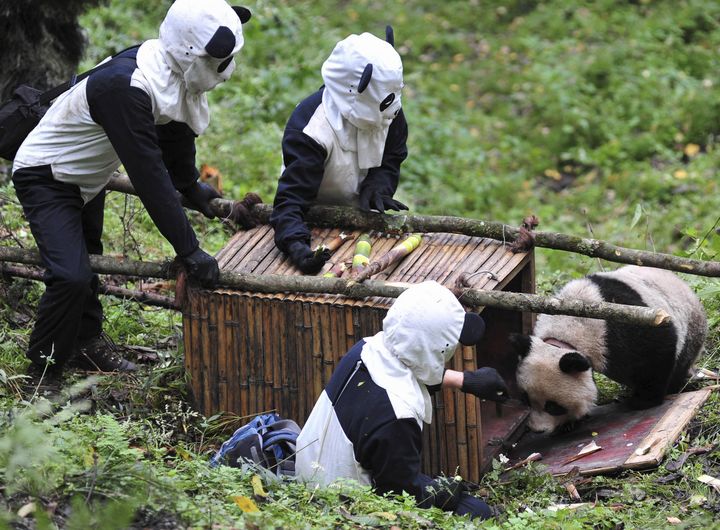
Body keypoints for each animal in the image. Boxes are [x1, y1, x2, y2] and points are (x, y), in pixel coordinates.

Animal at [512, 266, 708, 432]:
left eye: (553, 407)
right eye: (526, 399)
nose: (537, 430)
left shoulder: (622, 325)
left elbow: (656, 351)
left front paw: (643, 400)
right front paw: (570, 423)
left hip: (690, 329)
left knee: (679, 363)